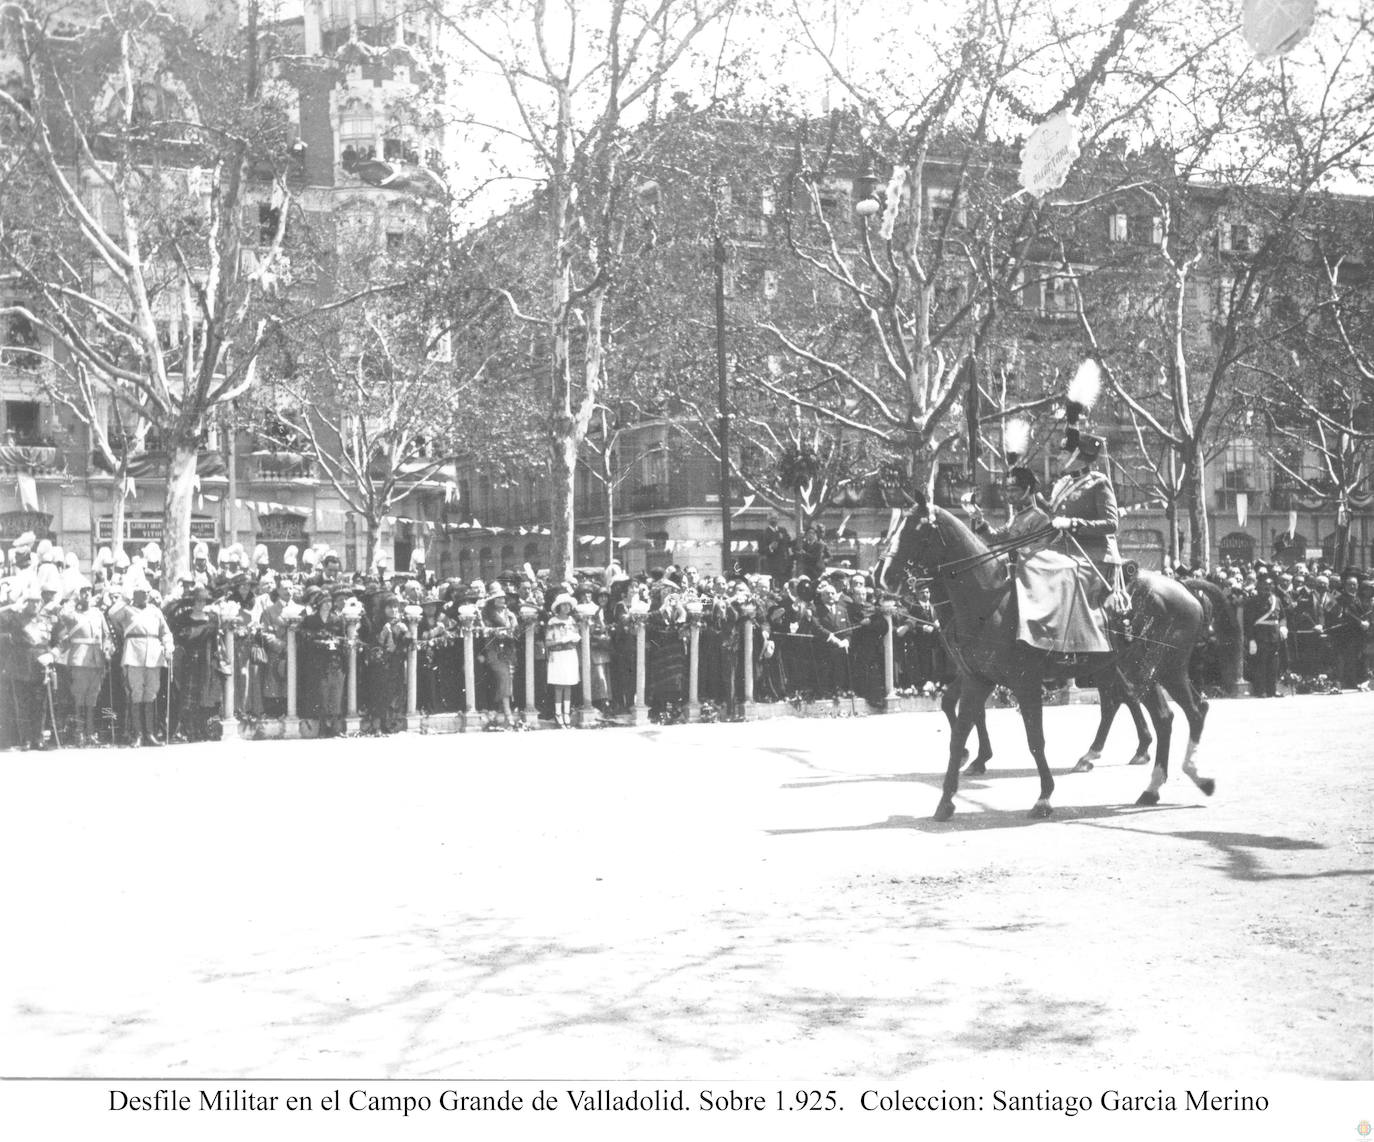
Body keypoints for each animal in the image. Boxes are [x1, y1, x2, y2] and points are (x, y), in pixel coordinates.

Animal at [879, 502, 1214, 824]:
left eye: (916, 533)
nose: (881, 577)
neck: (990, 602)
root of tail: (1184, 587)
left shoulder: (1024, 682)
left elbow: (1035, 739)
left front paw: (1043, 798)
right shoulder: (976, 678)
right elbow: (958, 727)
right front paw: (949, 796)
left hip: (1162, 668)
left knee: (1189, 710)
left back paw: (1195, 775)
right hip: (1135, 669)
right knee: (1159, 714)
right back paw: (1150, 784)